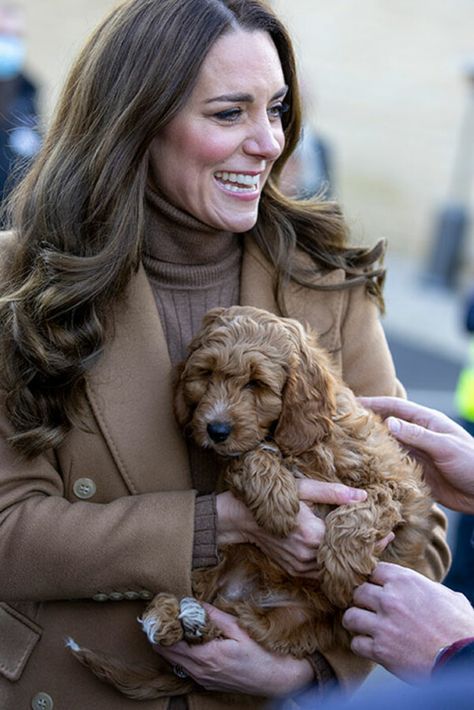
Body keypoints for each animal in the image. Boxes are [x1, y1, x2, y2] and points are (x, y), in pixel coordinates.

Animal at [68, 306, 438, 700]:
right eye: (206, 374)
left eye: (256, 384)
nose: (215, 430)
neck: (293, 441)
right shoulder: (240, 456)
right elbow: (248, 457)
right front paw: (278, 503)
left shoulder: (396, 485)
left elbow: (361, 510)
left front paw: (340, 570)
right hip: (215, 552)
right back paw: (169, 615)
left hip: (290, 625)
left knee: (242, 626)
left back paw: (193, 620)